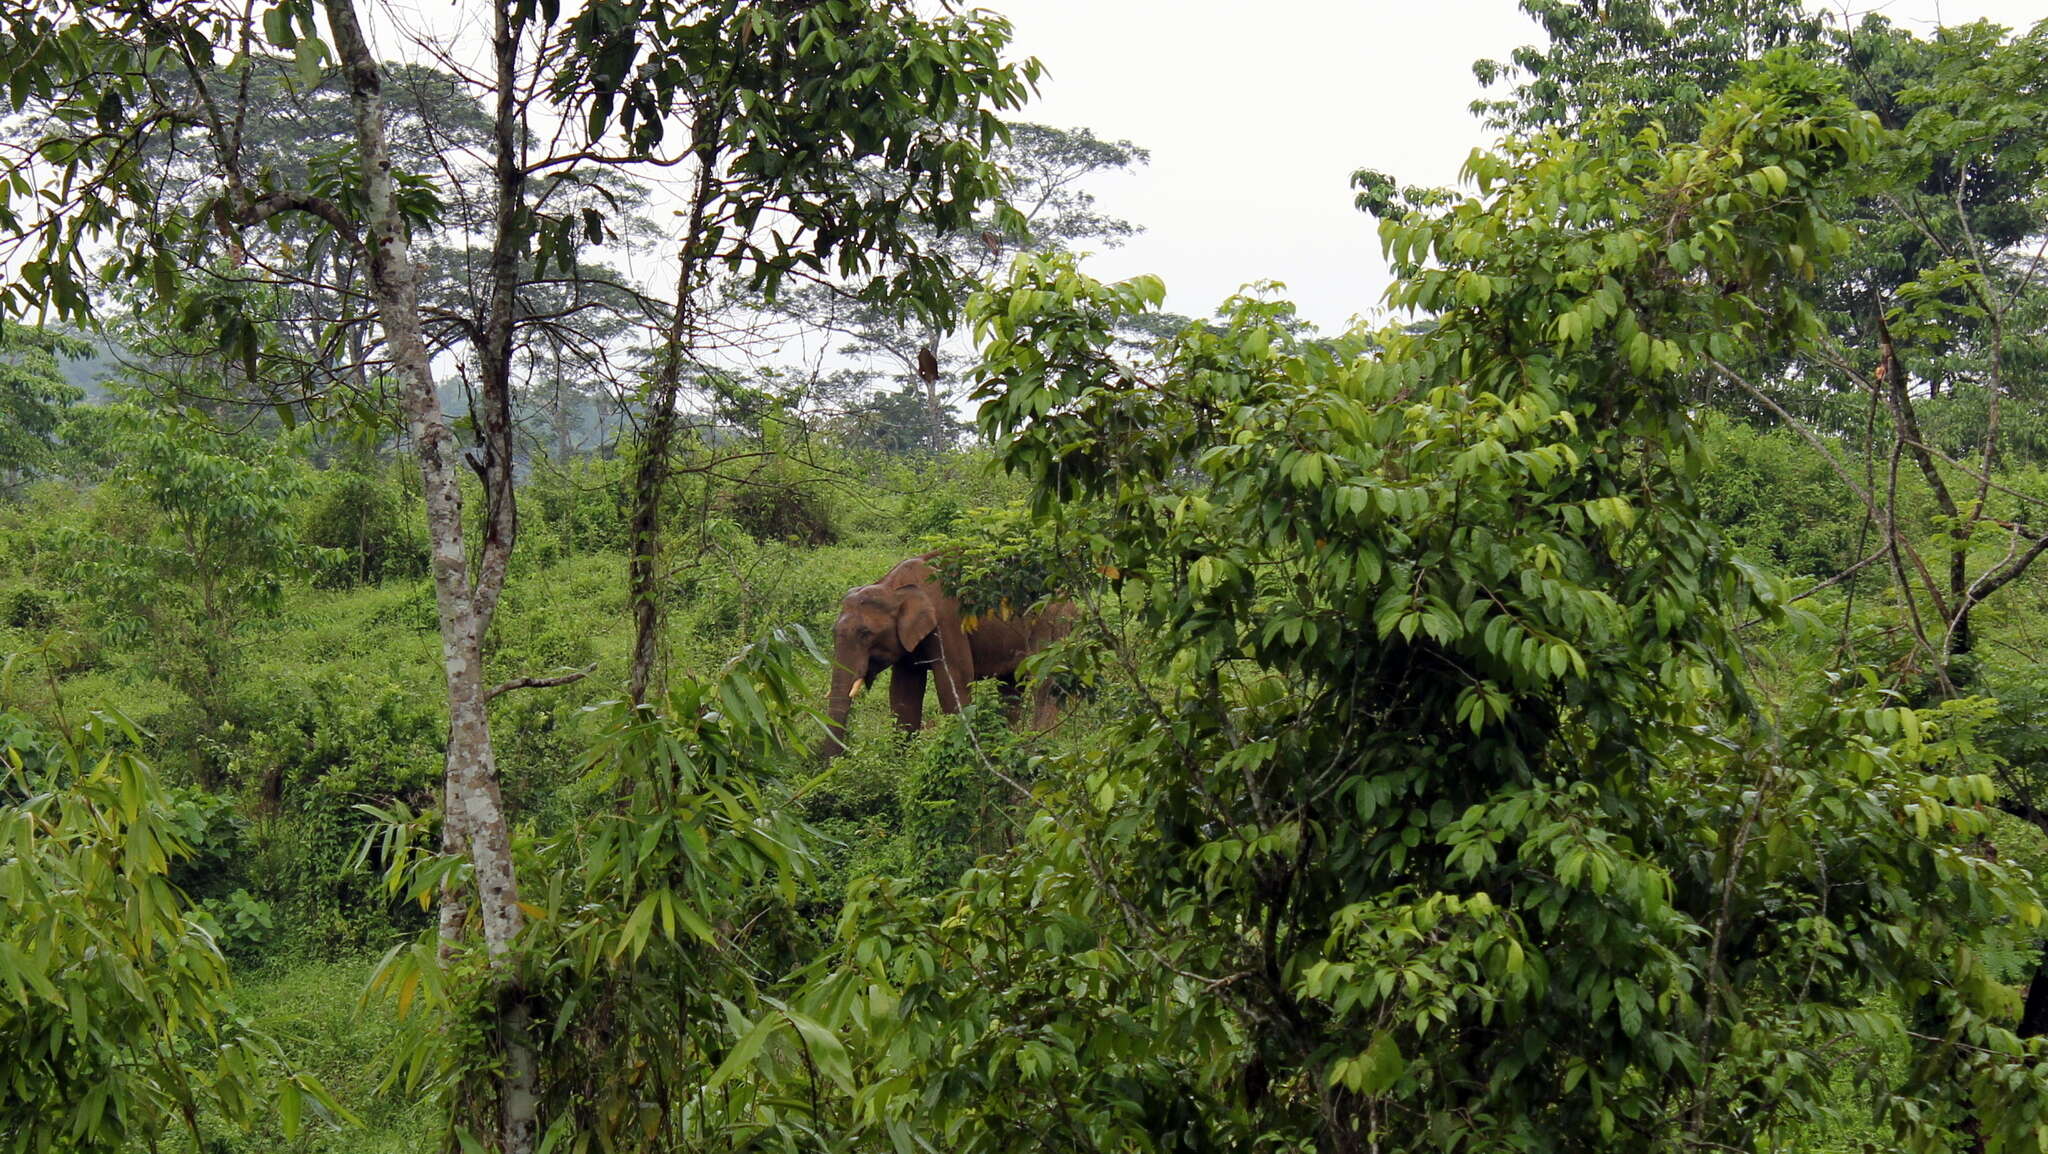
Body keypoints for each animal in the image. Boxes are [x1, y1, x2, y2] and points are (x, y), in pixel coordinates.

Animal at [819, 553, 1081, 762]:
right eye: (832, 632)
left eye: (865, 634)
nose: (835, 764)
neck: (892, 586)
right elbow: (904, 692)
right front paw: (901, 763)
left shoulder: (948, 622)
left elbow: (953, 680)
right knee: (1010, 687)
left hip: (1052, 625)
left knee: (1046, 682)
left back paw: (1039, 747)